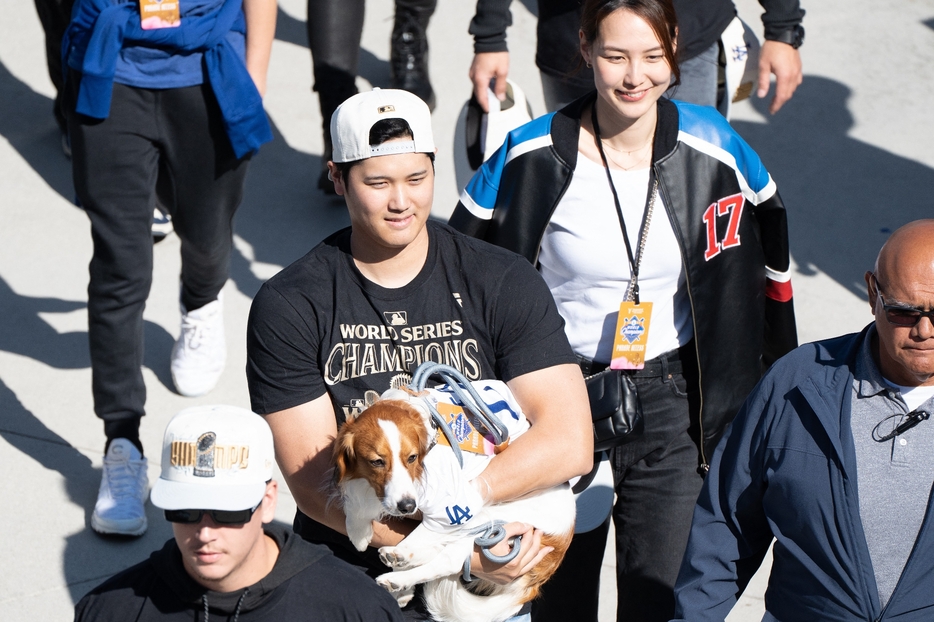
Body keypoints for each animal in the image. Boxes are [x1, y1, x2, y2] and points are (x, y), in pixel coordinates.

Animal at [332, 398, 576, 620]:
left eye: (412, 458)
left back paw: (398, 573)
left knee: (448, 561)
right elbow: (356, 503)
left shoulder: (454, 507)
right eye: (377, 462)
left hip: (490, 518)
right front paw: (358, 532)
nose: (408, 507)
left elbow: (423, 533)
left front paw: (399, 557)